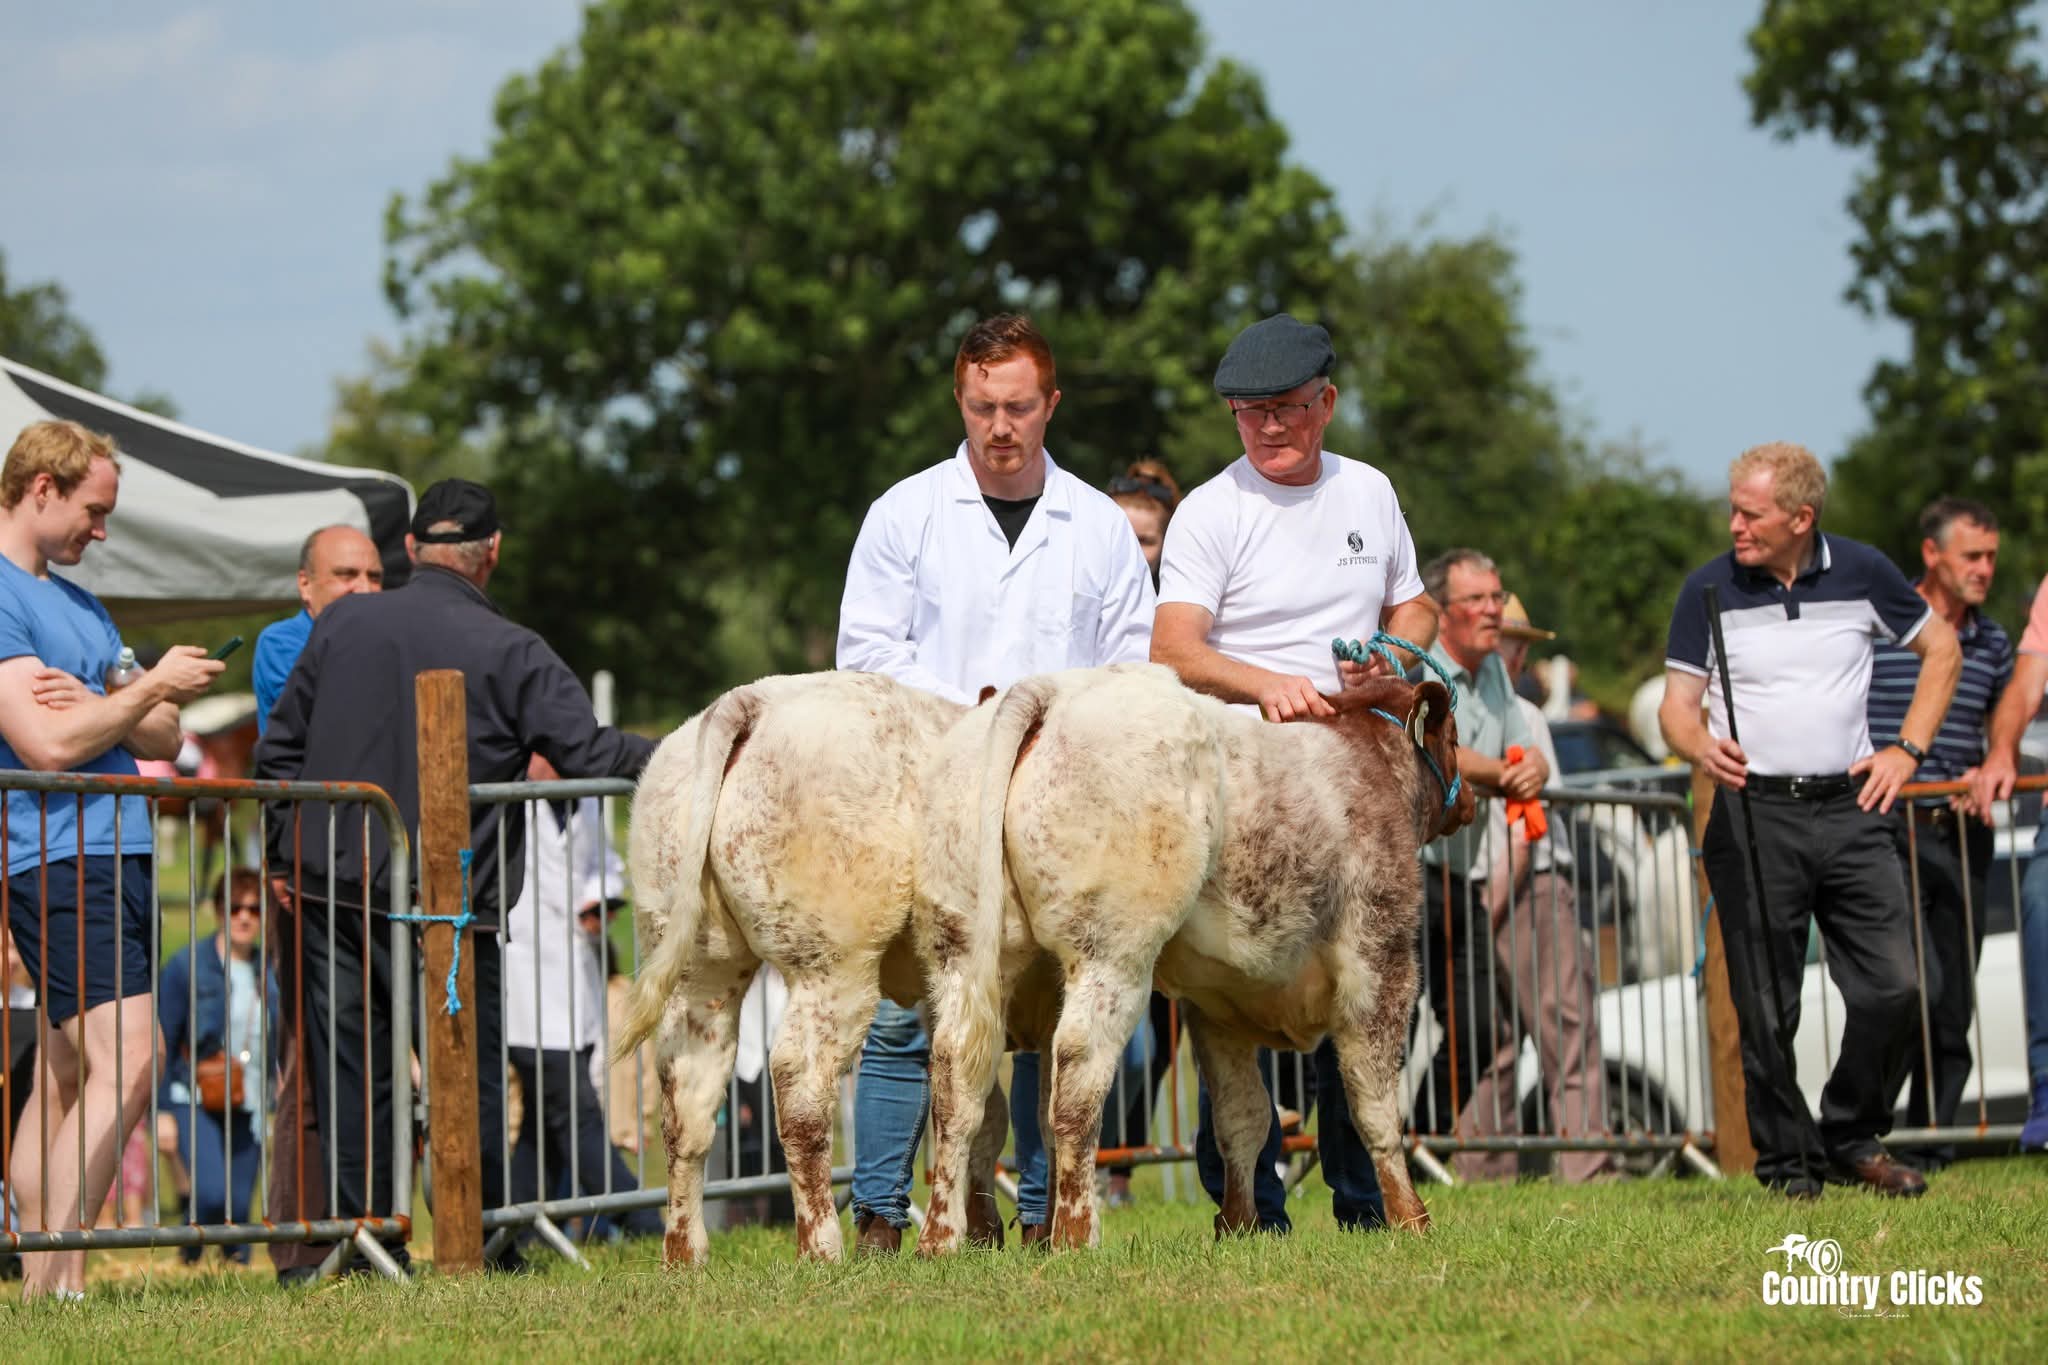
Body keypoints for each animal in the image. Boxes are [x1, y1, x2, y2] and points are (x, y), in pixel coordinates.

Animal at [611, 671, 1013, 1265]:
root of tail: (750, 701)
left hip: (699, 961)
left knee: (687, 1091)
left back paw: (686, 1253)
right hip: (831, 963)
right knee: (800, 1083)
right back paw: (822, 1246)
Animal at [913, 662, 1472, 1254]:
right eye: (1456, 738)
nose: (1471, 802)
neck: (1366, 761)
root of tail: (1057, 688)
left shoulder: (1218, 1006)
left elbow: (1242, 1118)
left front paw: (1239, 1223)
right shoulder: (1380, 961)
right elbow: (1376, 1106)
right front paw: (1411, 1219)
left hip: (963, 950)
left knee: (956, 1082)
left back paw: (940, 1238)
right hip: (1111, 953)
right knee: (1077, 1084)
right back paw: (1075, 1233)